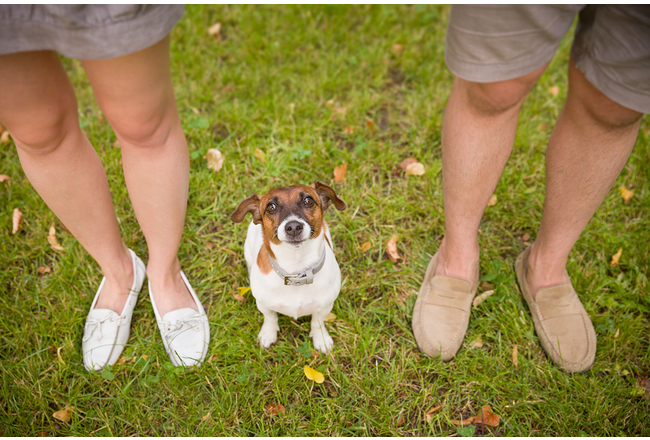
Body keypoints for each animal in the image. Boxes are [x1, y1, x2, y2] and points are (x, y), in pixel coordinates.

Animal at [232, 180, 346, 352]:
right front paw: (268, 334)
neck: (296, 269)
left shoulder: (325, 306)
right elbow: (270, 318)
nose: (293, 227)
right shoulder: (264, 304)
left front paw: (321, 339)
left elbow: (317, 323)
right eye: (271, 207)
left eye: (308, 201)